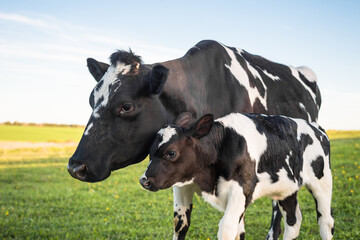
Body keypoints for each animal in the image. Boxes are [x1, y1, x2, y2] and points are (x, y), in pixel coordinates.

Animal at [141, 113, 334, 240]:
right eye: (149, 151)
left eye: (171, 153)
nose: (144, 180)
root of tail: (317, 128)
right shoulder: (183, 186)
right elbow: (180, 224)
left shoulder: (241, 189)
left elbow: (227, 228)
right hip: (287, 189)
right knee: (293, 221)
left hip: (322, 181)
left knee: (326, 221)